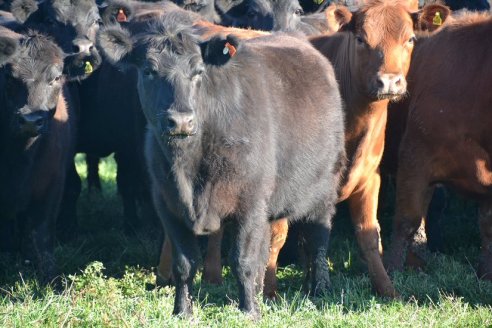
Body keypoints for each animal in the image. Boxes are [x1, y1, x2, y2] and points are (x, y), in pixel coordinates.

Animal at [99, 12, 346, 318]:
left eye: (198, 71)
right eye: (148, 71)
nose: (180, 121)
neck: (189, 169)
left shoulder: (249, 203)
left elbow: (243, 261)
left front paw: (249, 311)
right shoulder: (167, 205)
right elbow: (185, 264)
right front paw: (182, 311)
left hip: (324, 190)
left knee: (317, 240)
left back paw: (318, 288)